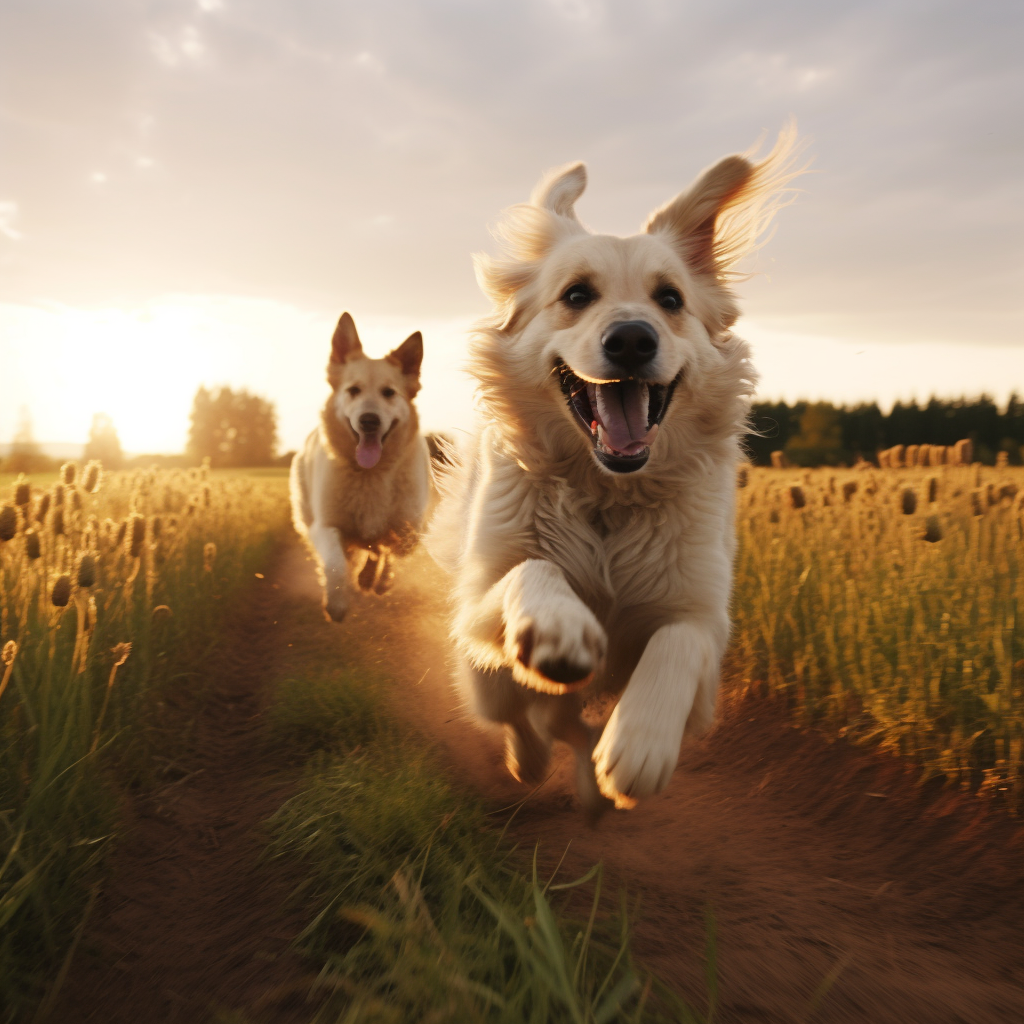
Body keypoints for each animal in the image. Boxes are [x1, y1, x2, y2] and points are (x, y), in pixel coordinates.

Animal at [290, 311, 430, 618]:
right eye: (353, 390)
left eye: (389, 393)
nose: (369, 421)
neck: (371, 474)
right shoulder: (325, 526)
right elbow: (335, 564)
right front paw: (337, 603)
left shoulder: (411, 524)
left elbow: (397, 546)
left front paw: (381, 580)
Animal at [428, 130, 802, 815]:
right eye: (577, 294)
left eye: (671, 299)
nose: (631, 339)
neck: (609, 494)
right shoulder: (477, 600)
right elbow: (533, 569)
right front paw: (558, 629)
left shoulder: (703, 619)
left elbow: (679, 641)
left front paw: (640, 743)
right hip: (481, 673)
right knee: (521, 716)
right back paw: (529, 761)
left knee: (569, 726)